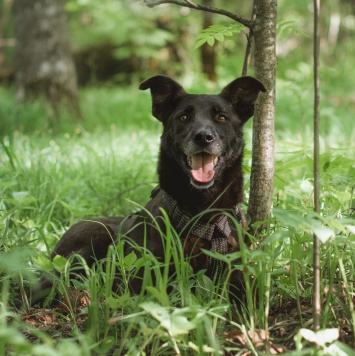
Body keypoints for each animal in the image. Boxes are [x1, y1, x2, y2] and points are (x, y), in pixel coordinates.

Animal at [30, 75, 266, 304]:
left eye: (222, 118)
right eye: (183, 117)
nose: (203, 137)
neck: (204, 217)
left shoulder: (239, 278)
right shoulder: (141, 283)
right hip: (89, 241)